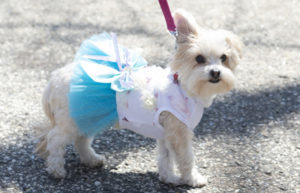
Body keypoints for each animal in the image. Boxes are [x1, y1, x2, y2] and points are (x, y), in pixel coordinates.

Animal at [36, 9, 243, 188]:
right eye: (199, 58)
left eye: (223, 58)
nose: (215, 72)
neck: (184, 87)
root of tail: (54, 78)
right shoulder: (179, 133)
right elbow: (186, 159)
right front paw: (192, 179)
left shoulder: (166, 133)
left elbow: (165, 157)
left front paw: (168, 177)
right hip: (70, 121)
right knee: (55, 140)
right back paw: (56, 169)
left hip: (87, 117)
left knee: (81, 140)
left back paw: (91, 159)